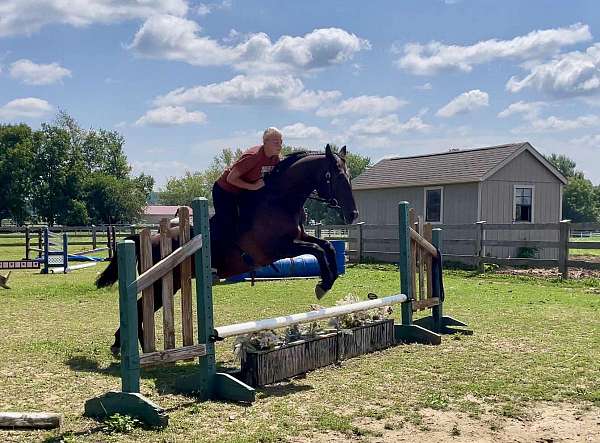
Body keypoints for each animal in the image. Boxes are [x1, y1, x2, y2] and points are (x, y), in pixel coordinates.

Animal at [97, 146, 356, 354]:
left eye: (349, 176)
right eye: (336, 177)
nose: (352, 215)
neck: (279, 201)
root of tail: (148, 237)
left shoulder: (298, 238)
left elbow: (326, 246)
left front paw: (328, 279)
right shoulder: (278, 248)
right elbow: (317, 250)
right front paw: (323, 285)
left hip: (168, 283)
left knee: (142, 307)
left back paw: (129, 345)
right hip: (163, 283)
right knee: (141, 306)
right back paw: (128, 346)